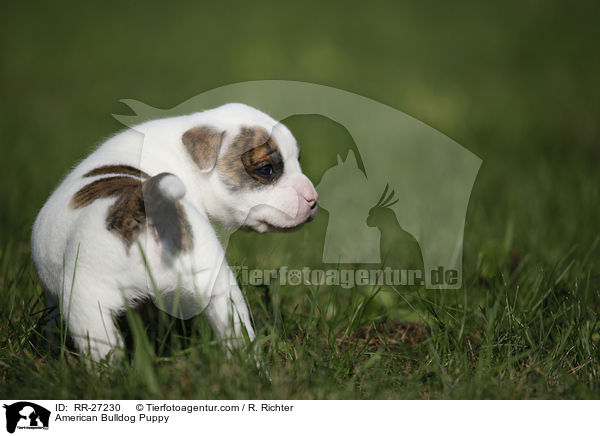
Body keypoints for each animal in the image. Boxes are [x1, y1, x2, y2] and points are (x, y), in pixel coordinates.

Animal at [31, 103, 318, 362]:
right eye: (266, 170)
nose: (313, 199)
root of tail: (149, 206)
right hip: (220, 290)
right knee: (237, 336)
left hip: (86, 303)